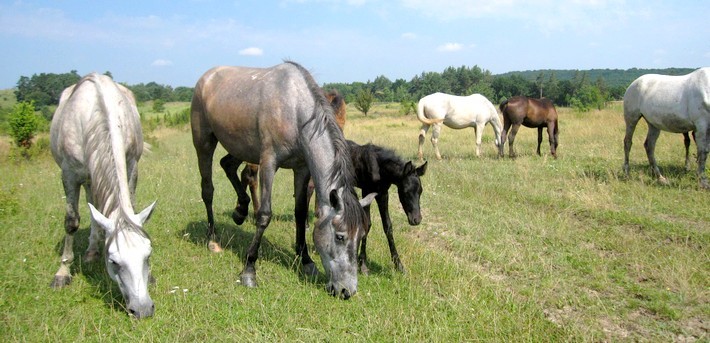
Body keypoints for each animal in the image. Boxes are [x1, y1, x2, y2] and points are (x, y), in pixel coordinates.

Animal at [49, 73, 158, 320]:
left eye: (148, 256)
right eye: (113, 261)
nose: (142, 309)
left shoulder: (131, 165)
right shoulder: (69, 174)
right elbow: (71, 221)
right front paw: (63, 272)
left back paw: (92, 249)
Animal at [192, 62, 376, 298]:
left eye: (361, 235)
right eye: (340, 237)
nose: (346, 291)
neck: (295, 110)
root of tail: (206, 77)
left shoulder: (301, 169)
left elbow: (300, 213)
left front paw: (306, 261)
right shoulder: (269, 163)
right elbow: (264, 215)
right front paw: (249, 270)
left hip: (241, 147)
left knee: (228, 165)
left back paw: (240, 210)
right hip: (204, 142)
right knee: (208, 189)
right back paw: (212, 238)